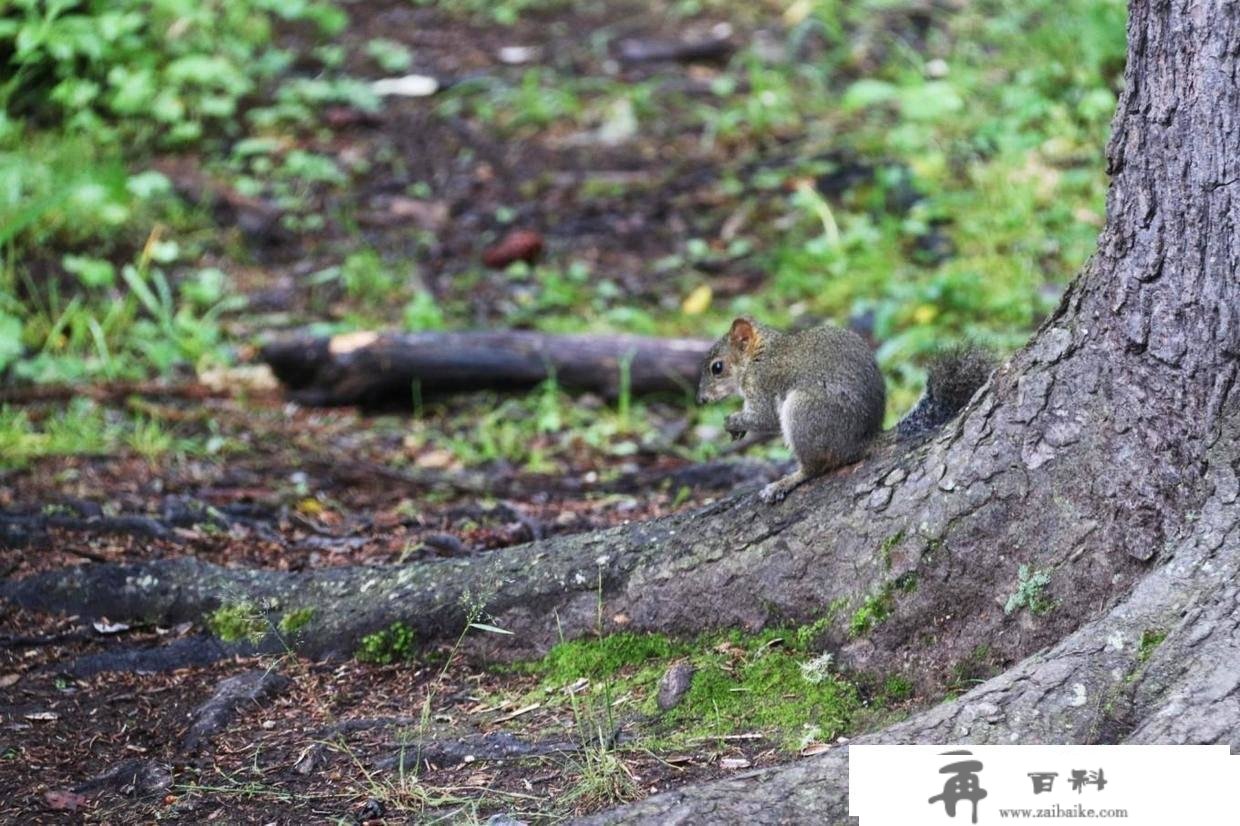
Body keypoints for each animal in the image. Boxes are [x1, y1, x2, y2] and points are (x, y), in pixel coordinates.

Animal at [699, 316, 996, 501]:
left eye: (717, 367)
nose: (701, 400)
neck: (758, 356)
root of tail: (863, 440)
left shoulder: (763, 384)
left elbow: (765, 418)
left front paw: (733, 421)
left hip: (805, 414)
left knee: (814, 468)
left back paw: (786, 482)